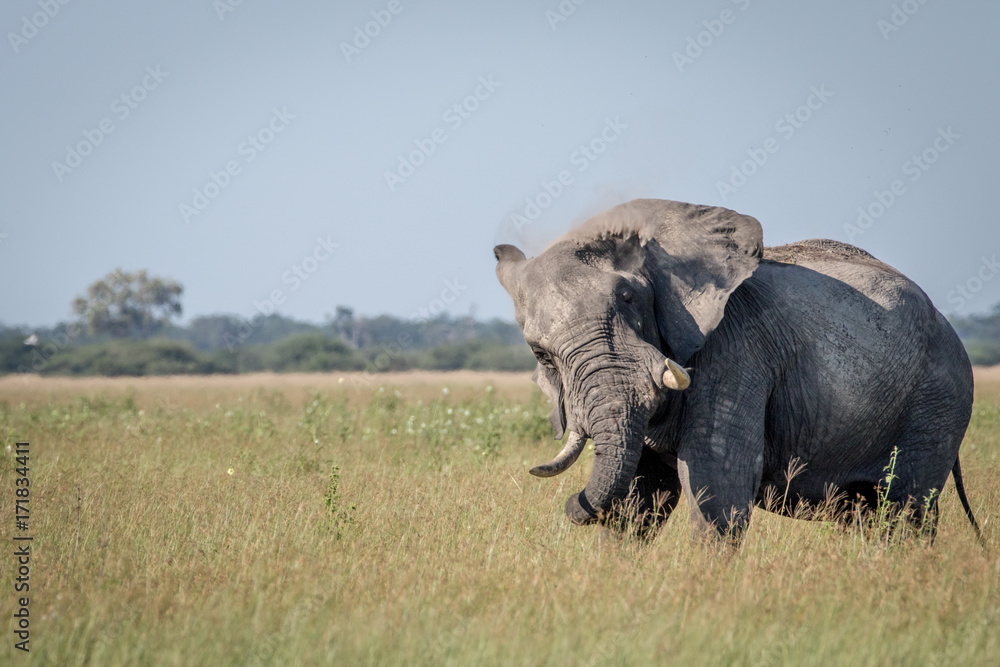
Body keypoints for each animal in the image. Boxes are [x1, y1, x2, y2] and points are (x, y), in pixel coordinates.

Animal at [494, 198, 981, 542]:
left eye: (629, 298)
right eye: (541, 354)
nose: (569, 507)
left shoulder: (736, 351)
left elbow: (716, 485)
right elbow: (638, 497)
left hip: (939, 402)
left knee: (906, 509)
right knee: (867, 512)